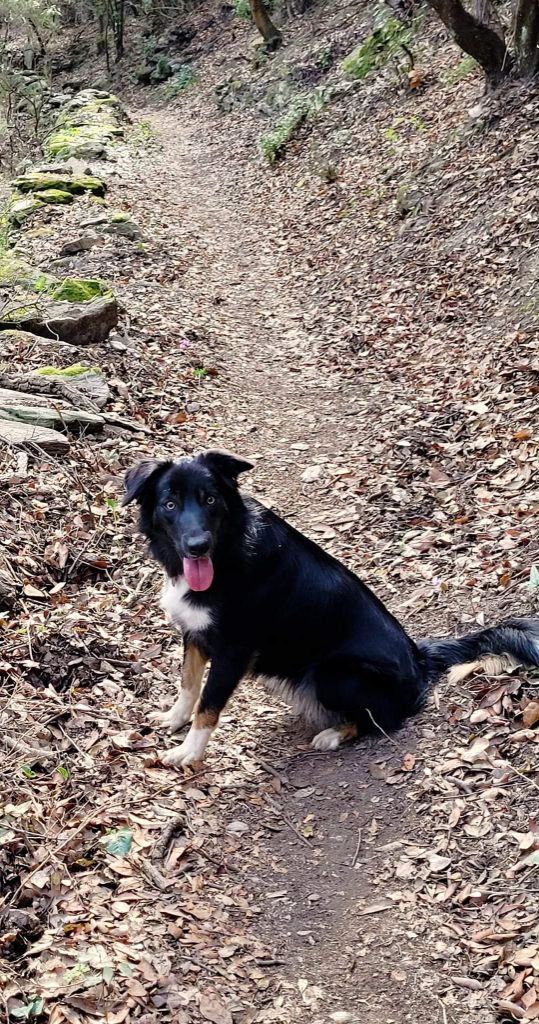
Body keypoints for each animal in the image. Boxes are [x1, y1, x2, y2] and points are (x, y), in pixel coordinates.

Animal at [124, 452, 539, 765]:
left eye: (210, 499)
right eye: (170, 504)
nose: (197, 546)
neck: (227, 552)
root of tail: (420, 661)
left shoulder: (233, 650)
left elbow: (208, 704)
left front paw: (187, 752)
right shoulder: (195, 633)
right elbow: (189, 683)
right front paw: (173, 718)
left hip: (332, 675)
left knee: (384, 719)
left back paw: (334, 734)